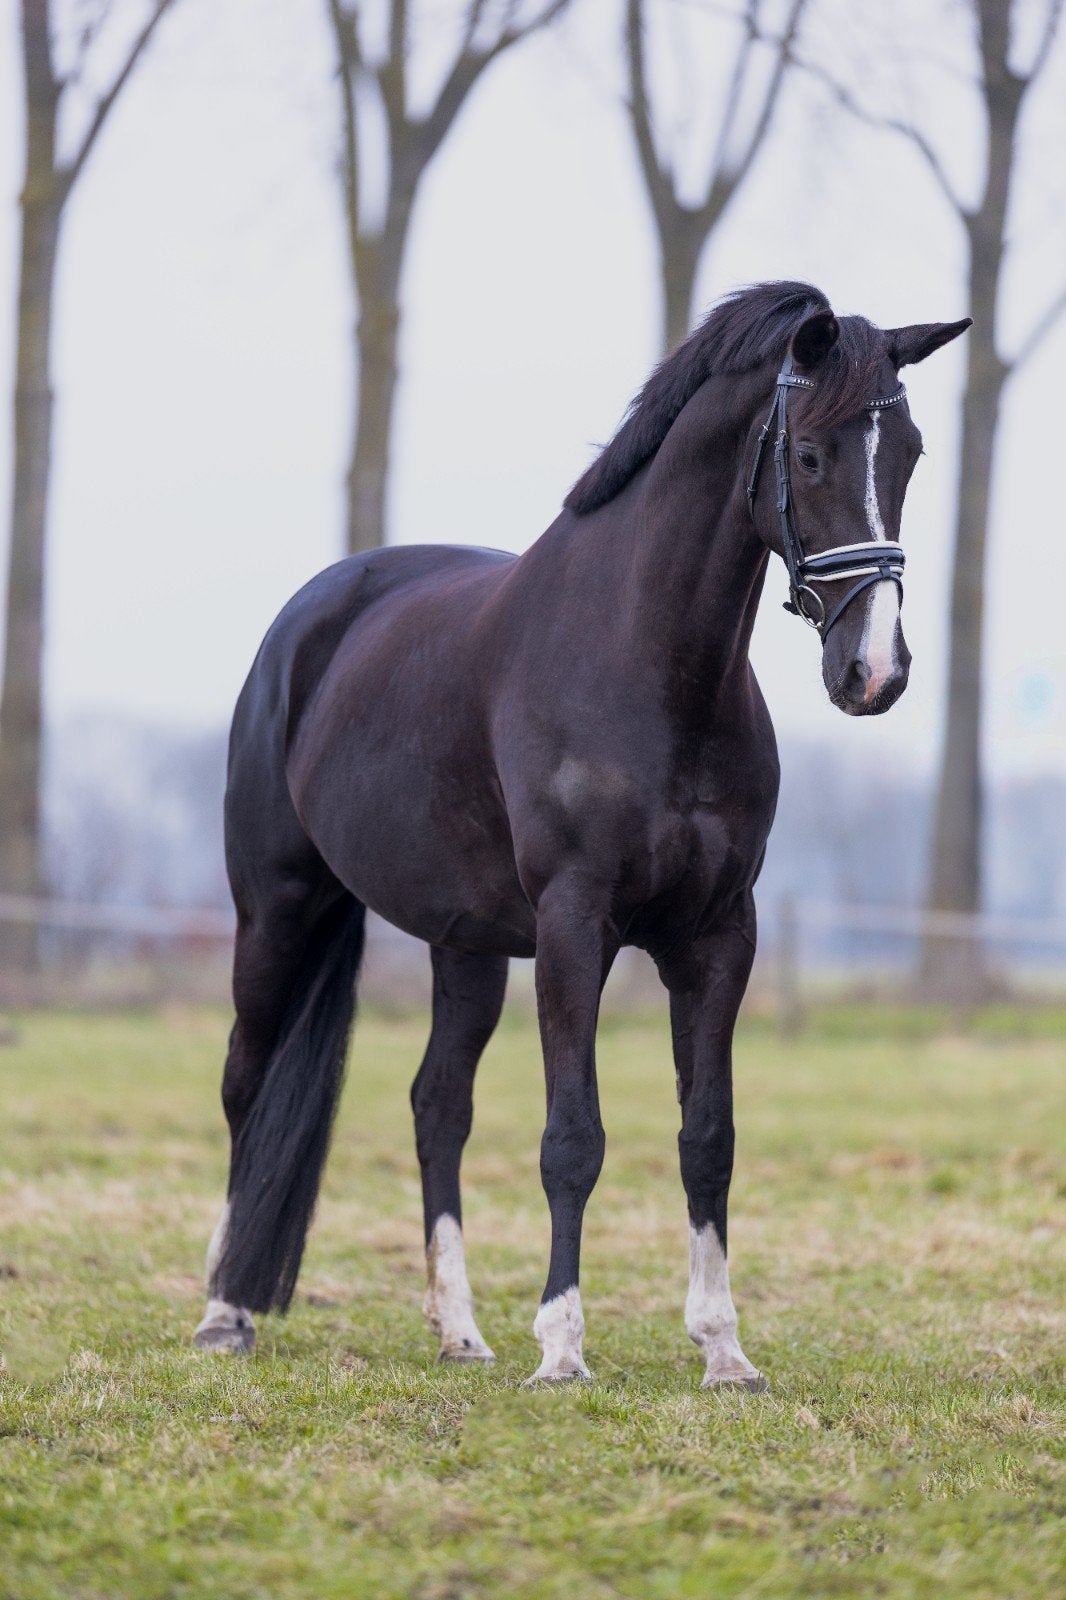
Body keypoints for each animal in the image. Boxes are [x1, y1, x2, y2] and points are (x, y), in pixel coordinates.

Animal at [193, 281, 969, 1388]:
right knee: (245, 1086)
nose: (875, 671)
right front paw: (561, 1346)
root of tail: (308, 622)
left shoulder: (718, 938)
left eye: (906, 452)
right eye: (813, 455)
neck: (647, 668)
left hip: (465, 946)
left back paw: (460, 1330)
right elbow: (573, 1137)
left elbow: (707, 1135)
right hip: (277, 912)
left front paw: (723, 1350)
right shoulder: (573, 928)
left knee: (438, 1107)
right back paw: (224, 1311)